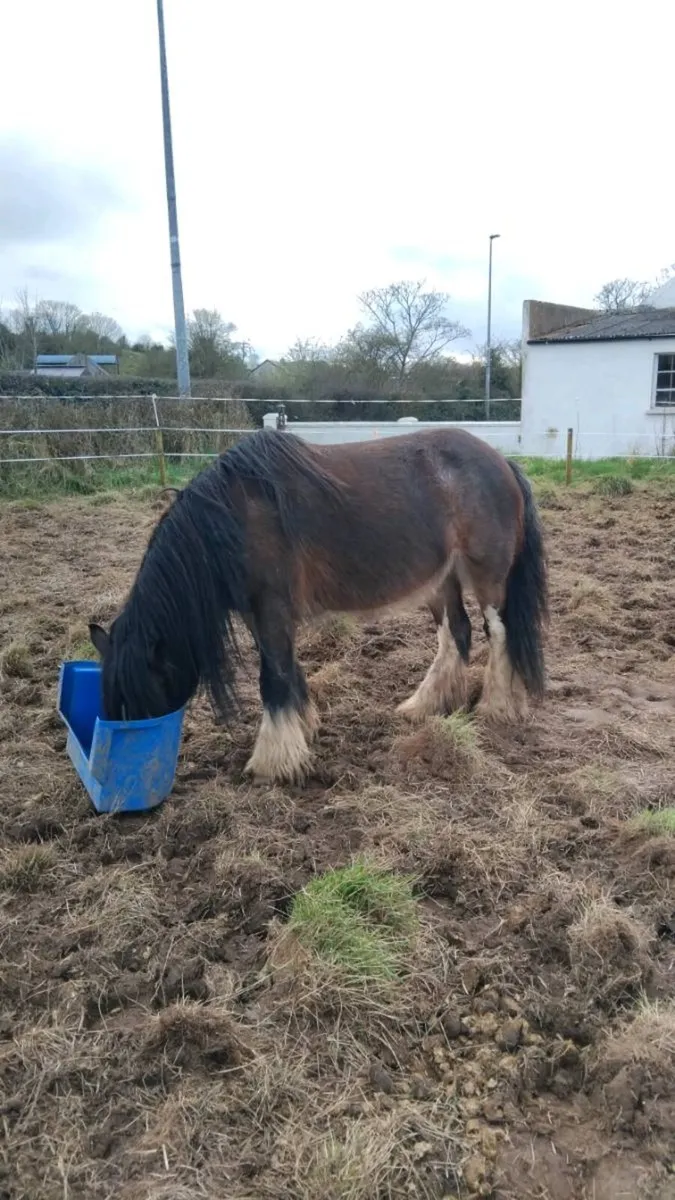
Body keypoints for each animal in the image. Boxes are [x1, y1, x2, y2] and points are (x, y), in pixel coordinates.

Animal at [89, 426, 548, 784]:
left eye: (143, 698)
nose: (133, 765)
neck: (233, 518)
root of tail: (503, 462)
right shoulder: (260, 614)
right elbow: (286, 668)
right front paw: (303, 727)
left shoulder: (271, 607)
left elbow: (272, 678)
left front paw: (272, 763)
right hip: (441, 579)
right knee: (457, 633)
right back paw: (427, 706)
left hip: (486, 577)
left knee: (498, 632)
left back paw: (497, 707)